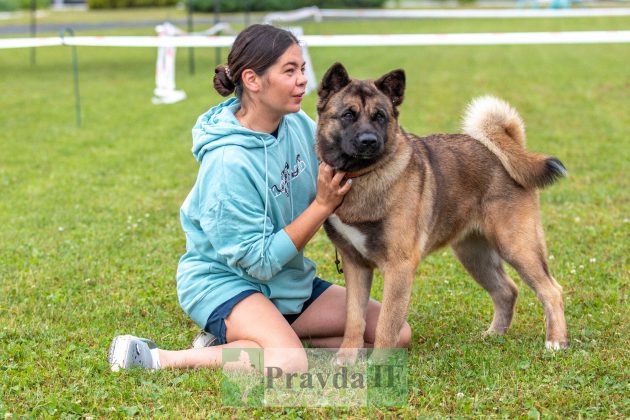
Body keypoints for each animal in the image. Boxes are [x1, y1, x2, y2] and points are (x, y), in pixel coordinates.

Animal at [318, 61, 572, 360]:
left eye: (380, 116)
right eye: (348, 115)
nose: (369, 141)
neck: (361, 178)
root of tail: (506, 150)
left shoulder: (399, 268)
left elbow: (385, 326)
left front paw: (379, 365)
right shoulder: (355, 266)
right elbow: (354, 319)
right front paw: (346, 359)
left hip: (517, 246)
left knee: (551, 290)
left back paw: (556, 341)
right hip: (474, 254)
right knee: (506, 291)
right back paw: (494, 335)